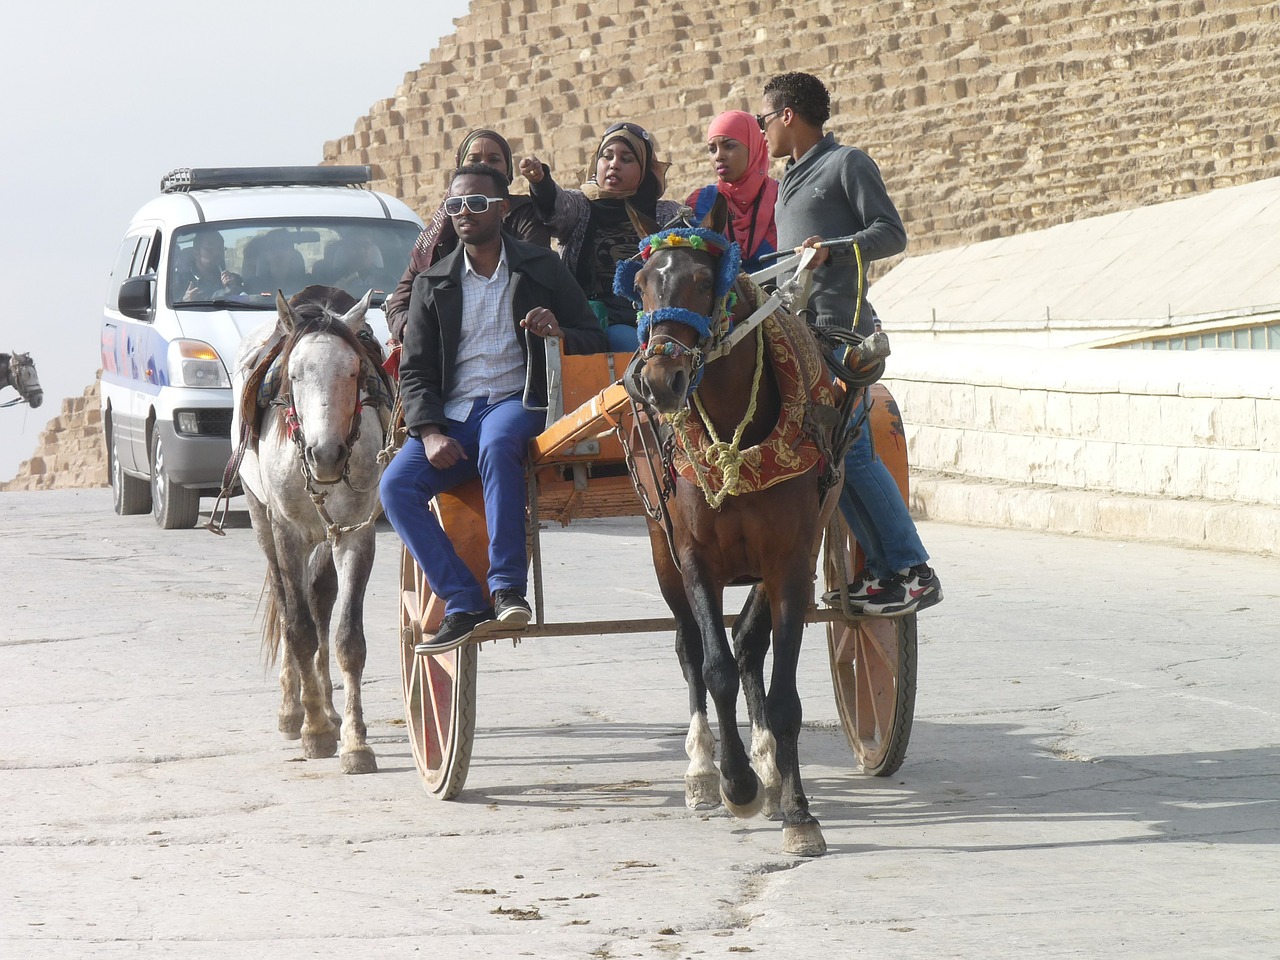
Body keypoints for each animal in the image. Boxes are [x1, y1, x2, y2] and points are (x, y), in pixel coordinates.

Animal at [230, 284, 389, 773]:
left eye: (354, 371)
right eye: (295, 375)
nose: (326, 455)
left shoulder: (355, 533)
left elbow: (347, 640)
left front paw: (355, 743)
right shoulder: (288, 534)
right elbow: (297, 629)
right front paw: (313, 731)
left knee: (320, 599)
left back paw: (329, 707)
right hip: (262, 518)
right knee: (287, 605)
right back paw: (293, 709)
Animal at [622, 197, 844, 855]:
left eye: (704, 281)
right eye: (640, 285)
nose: (659, 380)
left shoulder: (791, 561)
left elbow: (784, 691)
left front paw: (797, 810)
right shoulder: (695, 556)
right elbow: (715, 667)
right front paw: (735, 783)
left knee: (749, 642)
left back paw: (769, 765)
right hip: (662, 551)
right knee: (691, 648)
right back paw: (703, 770)